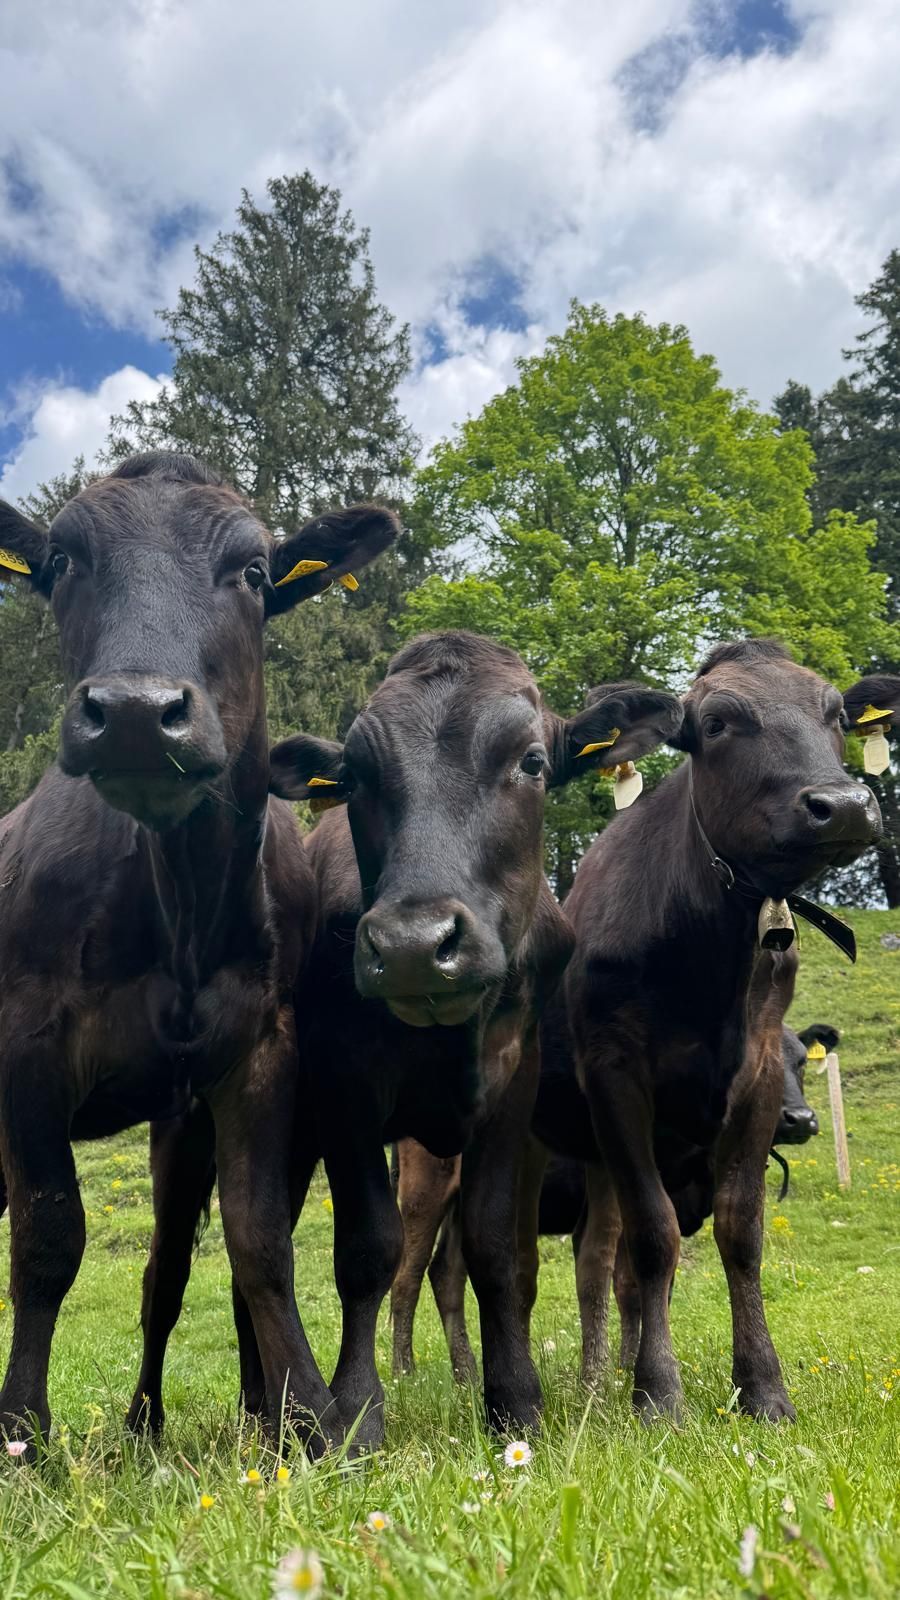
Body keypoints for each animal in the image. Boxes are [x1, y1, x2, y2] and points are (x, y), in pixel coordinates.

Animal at [0, 453, 397, 1455]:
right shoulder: (25, 1040)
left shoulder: (256, 1049)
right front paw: (21, 1430)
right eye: (61, 562)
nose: (137, 712)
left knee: (166, 1268)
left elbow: (258, 1241)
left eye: (253, 572)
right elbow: (48, 1237)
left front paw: (309, 1417)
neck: (180, 899)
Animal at [267, 631, 684, 1448]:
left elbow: (495, 1248)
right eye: (356, 775)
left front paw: (514, 1399)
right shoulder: (344, 1087)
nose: (412, 945)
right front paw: (357, 1411)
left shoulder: (514, 1084)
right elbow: (368, 1248)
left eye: (533, 761)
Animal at [388, 1018, 828, 1379]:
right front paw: (627, 1367)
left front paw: (630, 1363)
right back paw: (405, 1372)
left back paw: (466, 1373)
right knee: (407, 1276)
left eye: (801, 1062)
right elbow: (629, 1285)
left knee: (446, 1273)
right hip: (426, 1188)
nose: (799, 1118)